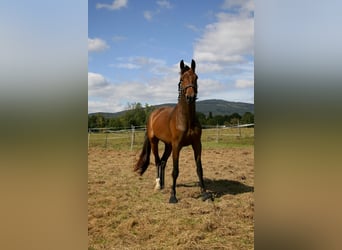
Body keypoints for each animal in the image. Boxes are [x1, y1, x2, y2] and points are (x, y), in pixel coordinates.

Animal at [133, 59, 211, 203]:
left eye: (196, 77)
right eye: (181, 79)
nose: (190, 97)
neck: (186, 120)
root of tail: (153, 114)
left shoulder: (197, 144)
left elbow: (199, 169)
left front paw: (204, 193)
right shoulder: (177, 146)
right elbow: (175, 170)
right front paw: (173, 196)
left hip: (168, 145)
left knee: (163, 162)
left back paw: (163, 184)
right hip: (155, 142)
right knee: (158, 161)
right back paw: (158, 185)